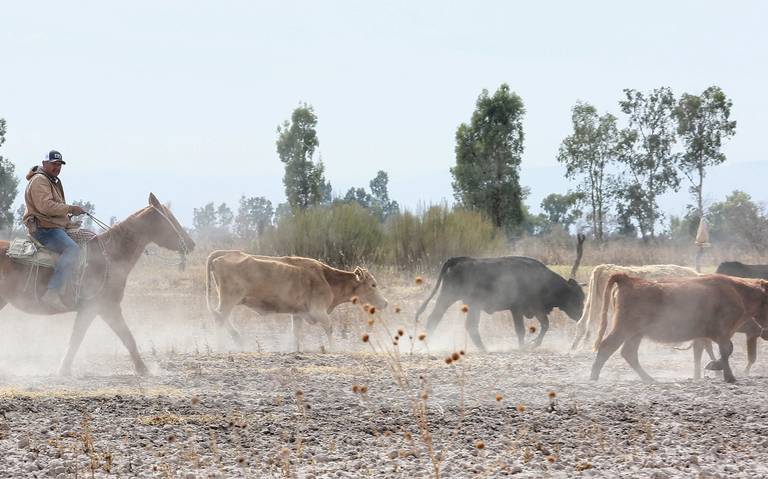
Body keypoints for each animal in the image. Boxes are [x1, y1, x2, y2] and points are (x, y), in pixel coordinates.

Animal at [0, 193, 195, 376]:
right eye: (170, 219)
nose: (191, 244)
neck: (110, 255)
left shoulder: (97, 309)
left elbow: (83, 337)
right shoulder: (102, 307)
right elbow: (121, 337)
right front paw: (143, 369)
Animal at [204, 251, 388, 352]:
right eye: (373, 284)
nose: (385, 303)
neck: (327, 279)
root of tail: (224, 254)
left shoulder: (298, 313)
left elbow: (296, 333)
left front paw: (295, 349)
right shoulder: (318, 311)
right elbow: (329, 328)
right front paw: (334, 348)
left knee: (221, 318)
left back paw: (237, 338)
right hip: (229, 300)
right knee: (219, 319)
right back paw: (220, 345)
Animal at [416, 242, 584, 350]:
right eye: (578, 298)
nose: (581, 317)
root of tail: (461, 260)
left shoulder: (535, 310)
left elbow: (544, 325)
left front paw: (532, 344)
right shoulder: (518, 310)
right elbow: (522, 329)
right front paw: (525, 346)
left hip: (454, 301)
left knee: (439, 319)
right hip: (458, 300)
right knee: (462, 324)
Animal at [568, 264, 704, 350]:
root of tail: (603, 267)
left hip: (591, 303)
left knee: (582, 324)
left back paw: (574, 348)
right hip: (604, 307)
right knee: (593, 327)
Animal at [588, 276, 768, 384]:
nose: (765, 333)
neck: (738, 293)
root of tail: (630, 279)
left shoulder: (714, 335)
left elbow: (724, 351)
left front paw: (714, 366)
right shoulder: (723, 333)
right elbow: (726, 351)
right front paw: (729, 376)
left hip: (636, 334)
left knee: (629, 353)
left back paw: (649, 379)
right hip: (624, 328)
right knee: (607, 347)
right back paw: (593, 377)